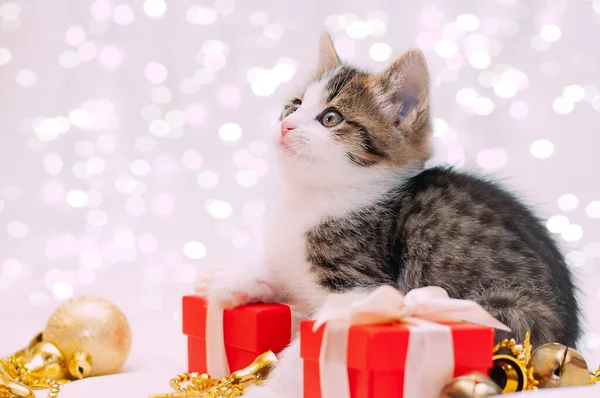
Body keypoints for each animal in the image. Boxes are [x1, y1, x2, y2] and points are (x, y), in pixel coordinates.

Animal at [204, 33, 580, 398]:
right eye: (294, 106)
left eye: (331, 118)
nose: (286, 126)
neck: (310, 199)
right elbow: (274, 271)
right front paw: (228, 284)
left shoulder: (359, 286)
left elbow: (309, 346)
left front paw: (268, 388)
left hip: (508, 314)